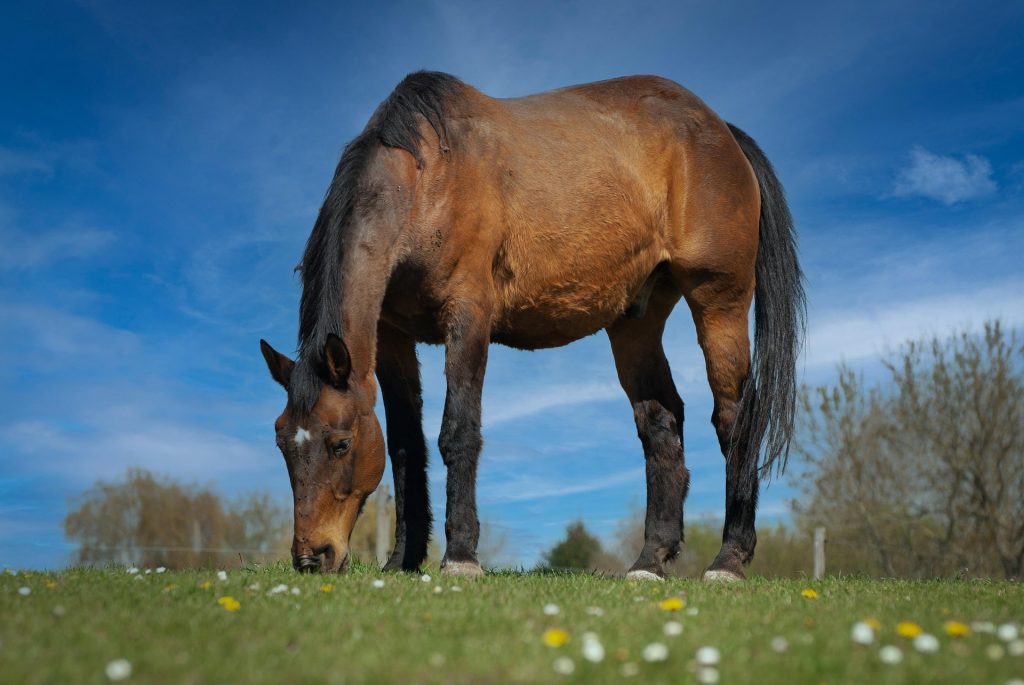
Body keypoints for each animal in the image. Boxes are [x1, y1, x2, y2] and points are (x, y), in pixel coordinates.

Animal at [260, 71, 804, 581]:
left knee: (734, 420)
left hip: (720, 303)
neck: (428, 178)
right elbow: (405, 447)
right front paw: (403, 560)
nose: (311, 557)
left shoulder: (469, 317)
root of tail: (722, 131)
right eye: (283, 442)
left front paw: (460, 557)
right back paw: (650, 560)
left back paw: (729, 560)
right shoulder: (392, 338)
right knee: (661, 425)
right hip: (636, 324)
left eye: (340, 443)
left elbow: (458, 432)